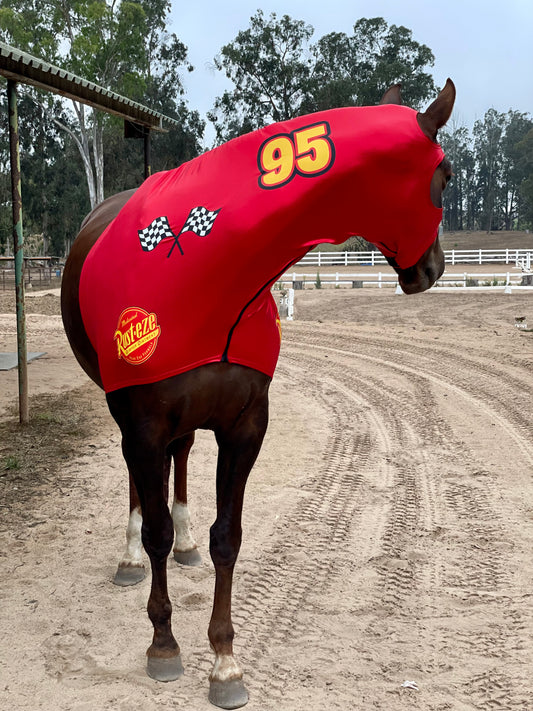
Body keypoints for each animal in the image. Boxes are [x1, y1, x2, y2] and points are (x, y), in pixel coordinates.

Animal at [61, 79, 455, 709]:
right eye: (445, 174)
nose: (435, 268)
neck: (213, 279)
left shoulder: (245, 426)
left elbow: (228, 538)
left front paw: (224, 662)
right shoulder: (143, 426)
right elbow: (153, 528)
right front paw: (164, 644)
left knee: (180, 461)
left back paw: (186, 543)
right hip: (129, 420)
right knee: (142, 490)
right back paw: (130, 558)